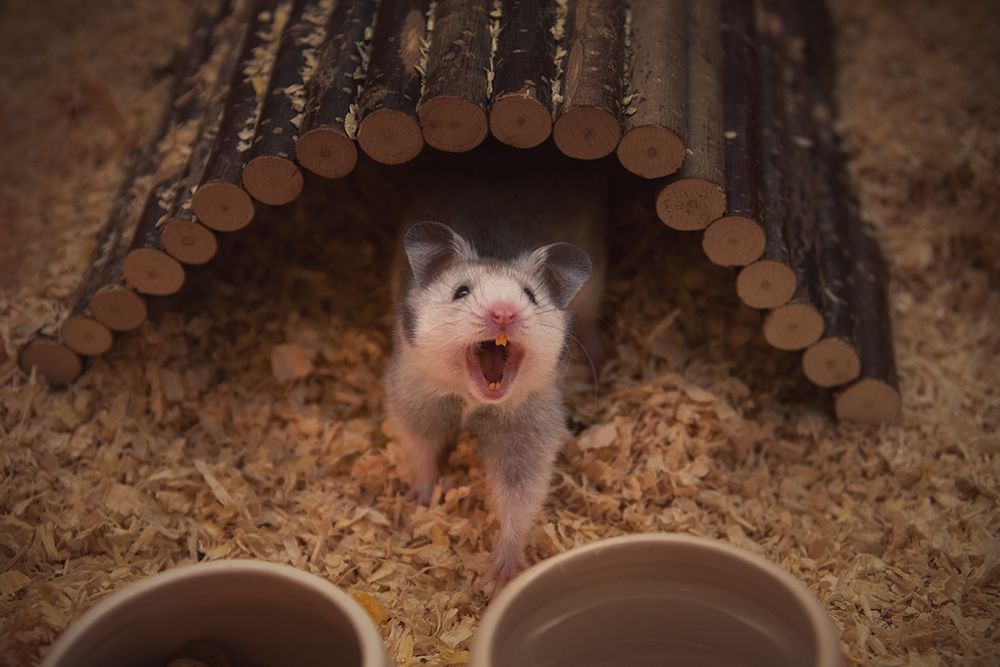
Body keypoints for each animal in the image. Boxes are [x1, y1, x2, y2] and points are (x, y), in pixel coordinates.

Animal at [384, 157, 604, 596]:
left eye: (530, 296)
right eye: (461, 292)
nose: (505, 312)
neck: (475, 400)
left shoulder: (529, 434)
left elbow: (519, 496)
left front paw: (501, 574)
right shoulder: (413, 402)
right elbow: (422, 452)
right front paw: (422, 500)